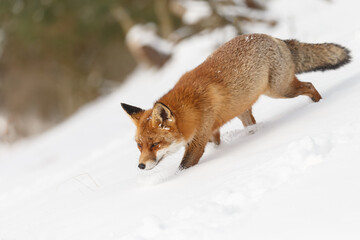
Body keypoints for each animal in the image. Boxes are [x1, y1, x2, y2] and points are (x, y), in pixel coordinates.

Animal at [121, 33, 348, 171]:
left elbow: (183, 167)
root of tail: (273, 38)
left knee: (309, 85)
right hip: (245, 109)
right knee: (252, 124)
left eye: (155, 144)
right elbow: (216, 143)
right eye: (139, 145)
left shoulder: (198, 141)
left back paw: (319, 104)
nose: (141, 166)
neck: (190, 107)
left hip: (281, 91)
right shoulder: (211, 132)